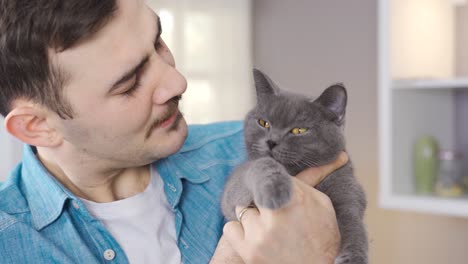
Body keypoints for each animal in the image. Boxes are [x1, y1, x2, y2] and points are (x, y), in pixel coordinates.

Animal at [221, 69, 368, 262]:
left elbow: (353, 222)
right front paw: (276, 190)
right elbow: (261, 164)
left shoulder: (349, 190)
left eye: (299, 130)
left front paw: (354, 257)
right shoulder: (232, 194)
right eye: (263, 123)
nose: (271, 141)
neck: (295, 172)